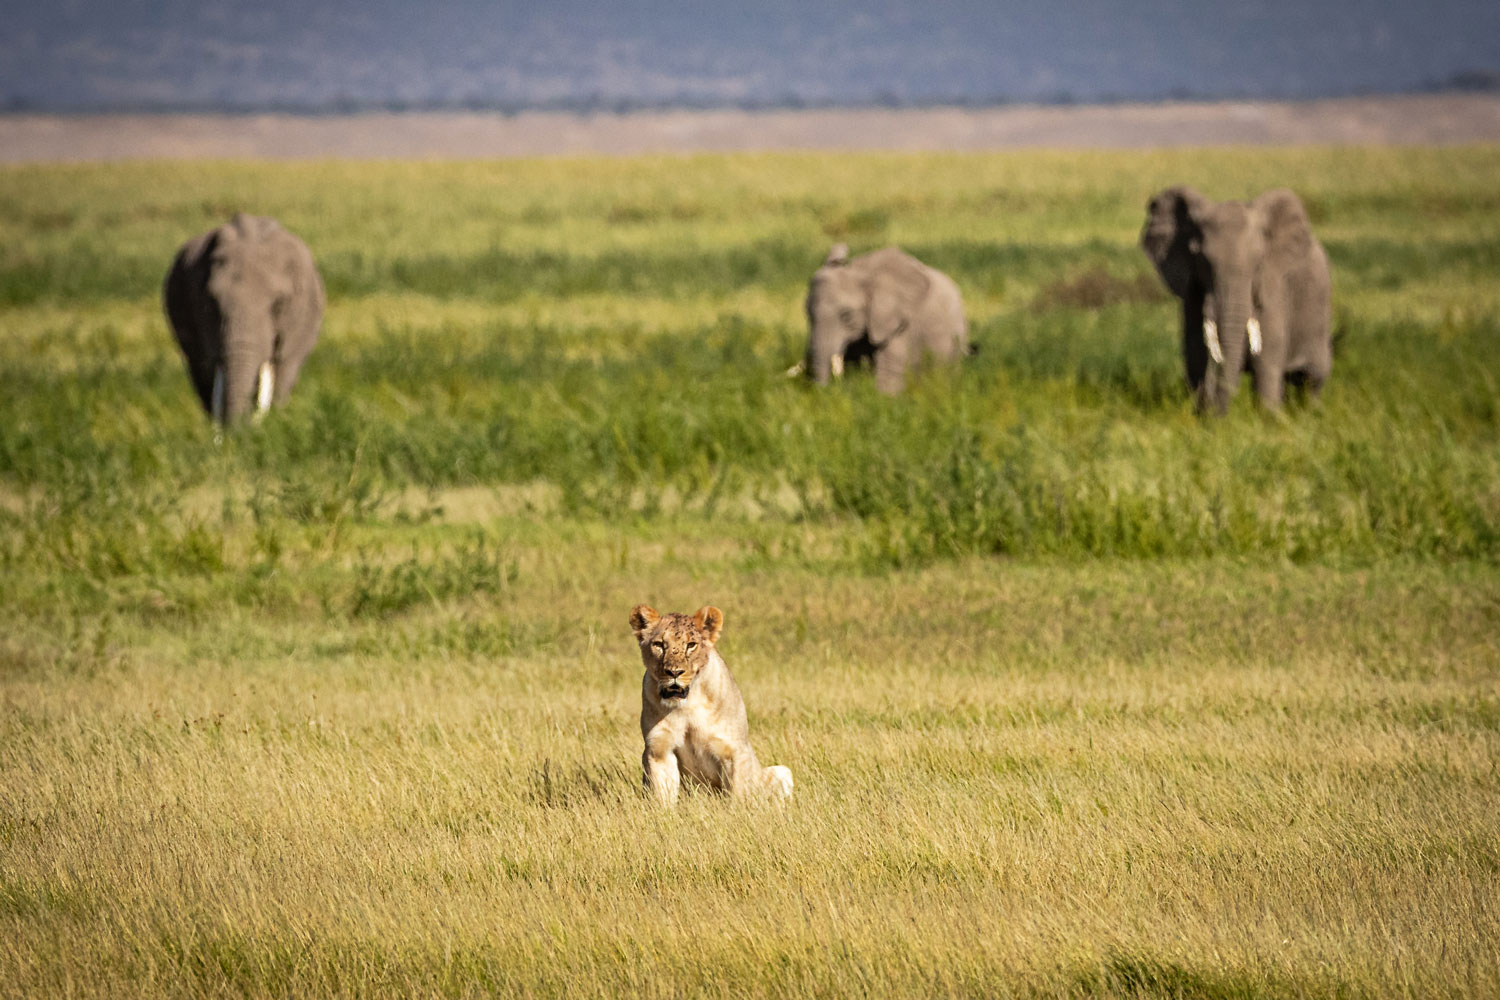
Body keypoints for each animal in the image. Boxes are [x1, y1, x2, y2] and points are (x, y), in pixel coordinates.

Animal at [629, 603, 793, 805]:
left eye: (691, 645)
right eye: (659, 644)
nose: (674, 672)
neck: (687, 704)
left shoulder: (734, 750)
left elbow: (738, 797)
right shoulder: (659, 750)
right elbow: (663, 797)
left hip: (781, 771)